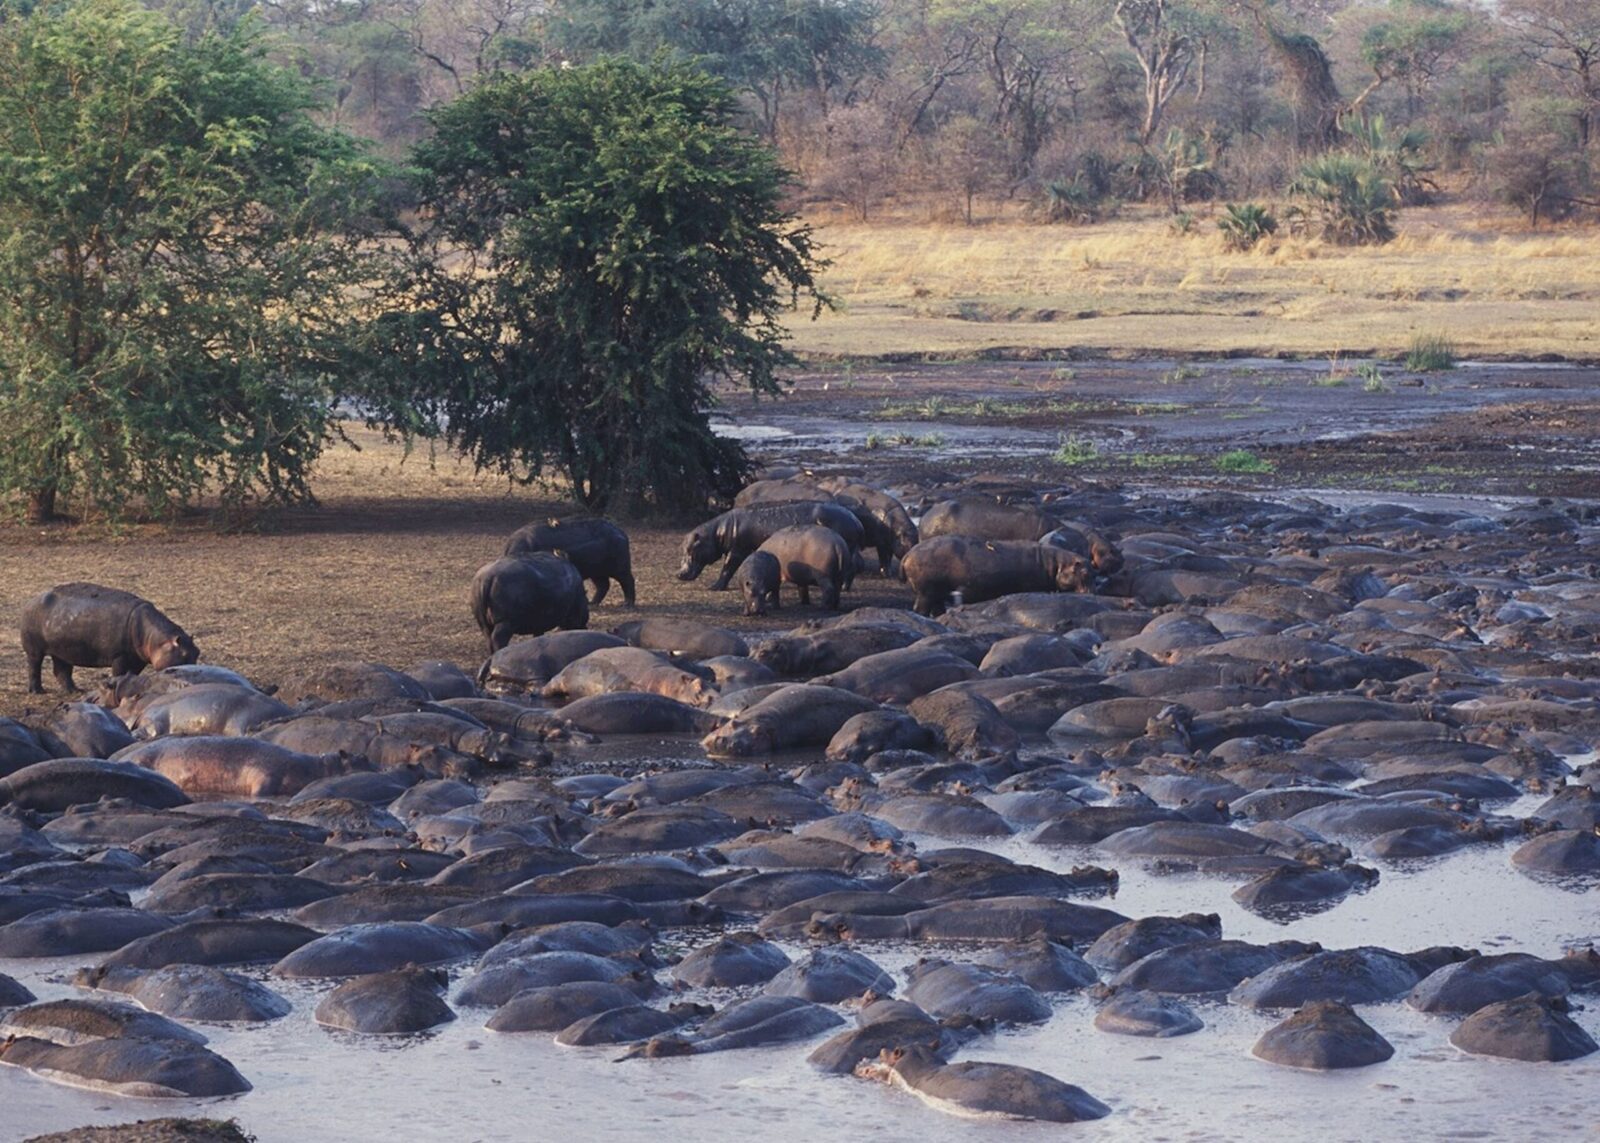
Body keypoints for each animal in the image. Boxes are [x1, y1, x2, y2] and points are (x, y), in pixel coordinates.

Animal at [20, 582, 198, 691]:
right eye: (184, 654)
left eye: (197, 652)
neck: (156, 639)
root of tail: (31, 600)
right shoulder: (119, 656)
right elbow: (118, 672)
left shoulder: (138, 658)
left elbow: (133, 673)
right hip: (34, 649)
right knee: (34, 667)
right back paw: (37, 691)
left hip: (62, 650)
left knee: (62, 670)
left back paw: (74, 690)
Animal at [508, 515, 640, 605]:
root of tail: (621, 533)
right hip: (597, 572)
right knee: (603, 585)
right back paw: (592, 603)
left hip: (620, 568)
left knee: (628, 581)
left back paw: (628, 603)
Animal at [908, 534, 1094, 614]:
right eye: (1084, 572)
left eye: (1094, 571)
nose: (1092, 592)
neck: (1056, 564)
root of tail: (908, 555)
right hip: (927, 591)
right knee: (921, 607)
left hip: (936, 592)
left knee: (936, 607)